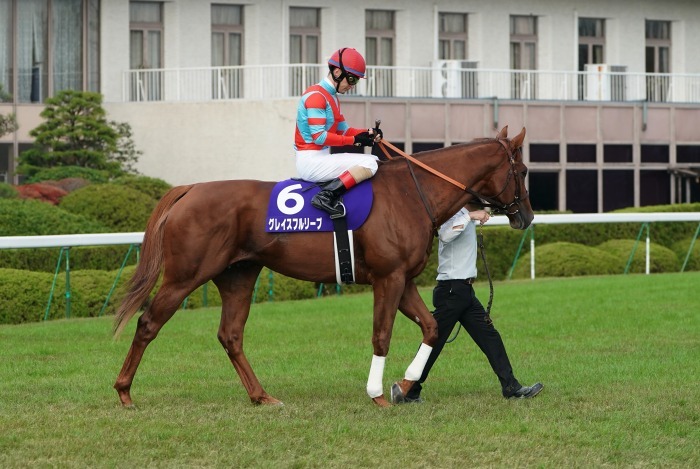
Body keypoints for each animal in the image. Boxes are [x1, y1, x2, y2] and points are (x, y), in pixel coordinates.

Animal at [112, 125, 532, 406]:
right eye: (524, 171)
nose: (526, 216)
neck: (413, 193)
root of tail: (191, 189)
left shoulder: (404, 279)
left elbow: (431, 327)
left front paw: (405, 385)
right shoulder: (388, 277)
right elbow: (382, 334)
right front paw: (378, 394)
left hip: (238, 277)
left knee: (230, 335)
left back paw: (262, 396)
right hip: (185, 276)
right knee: (148, 323)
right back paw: (124, 392)